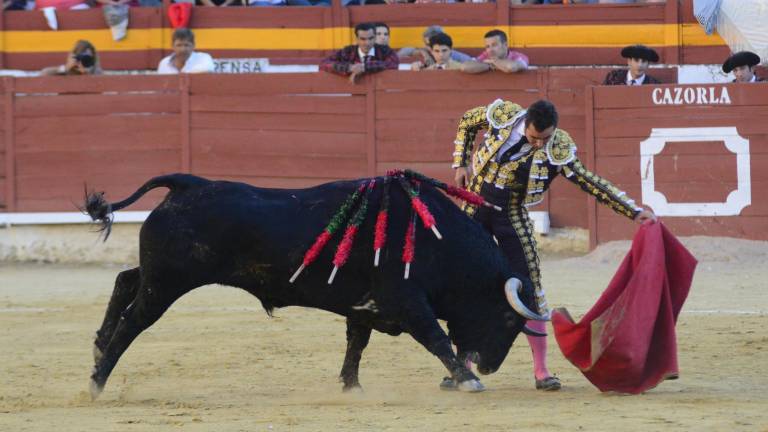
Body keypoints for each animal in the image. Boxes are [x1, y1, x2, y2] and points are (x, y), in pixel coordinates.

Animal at [85, 173, 544, 398]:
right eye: (509, 321)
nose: (489, 366)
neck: (437, 238)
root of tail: (189, 184)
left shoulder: (365, 306)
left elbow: (356, 344)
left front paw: (351, 387)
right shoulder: (407, 301)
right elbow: (436, 338)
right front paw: (468, 381)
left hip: (161, 275)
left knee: (126, 280)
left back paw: (98, 348)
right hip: (167, 283)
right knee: (133, 320)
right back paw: (96, 381)